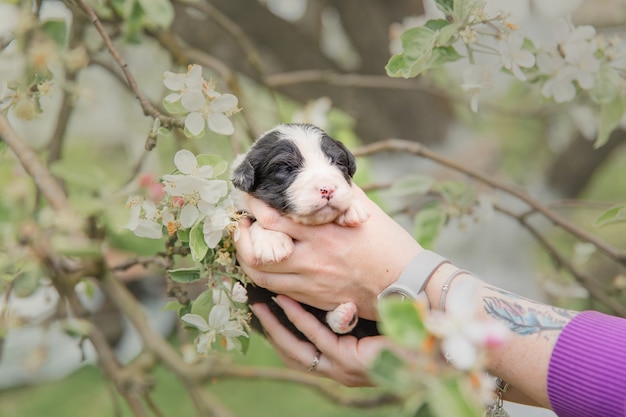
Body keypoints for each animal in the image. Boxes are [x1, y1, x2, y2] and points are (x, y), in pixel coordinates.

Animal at [229, 122, 376, 338]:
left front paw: (352, 209)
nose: (327, 188)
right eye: (286, 168)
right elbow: (254, 219)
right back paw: (343, 317)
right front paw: (272, 242)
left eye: (338, 162)